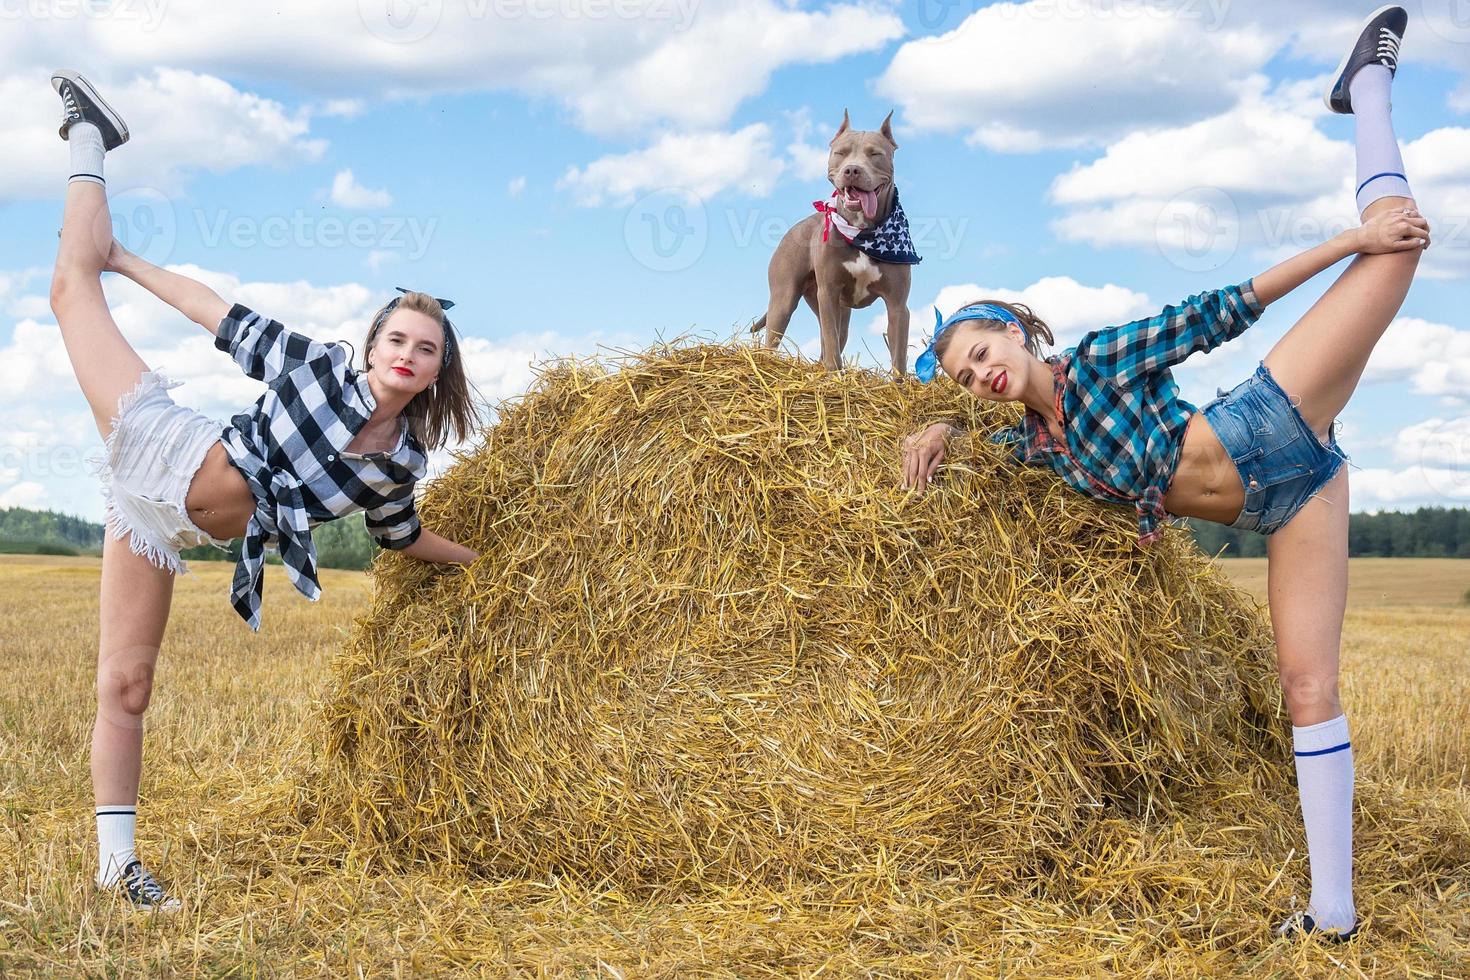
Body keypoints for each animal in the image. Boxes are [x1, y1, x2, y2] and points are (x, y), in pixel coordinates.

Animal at [746, 110, 917, 376]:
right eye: (841, 152)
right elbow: (831, 340)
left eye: (875, 154)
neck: (862, 231)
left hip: (838, 310)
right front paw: (835, 374)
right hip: (784, 300)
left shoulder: (898, 304)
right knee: (783, 336)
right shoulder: (828, 292)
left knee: (834, 338)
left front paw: (899, 383)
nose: (852, 170)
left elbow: (898, 355)